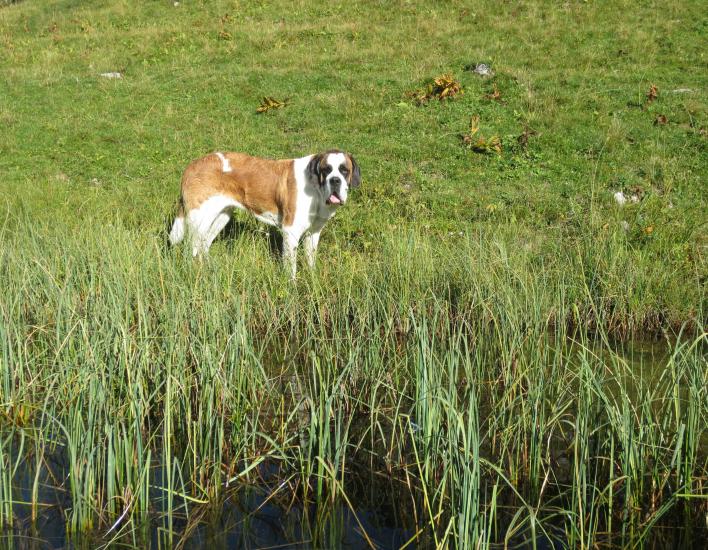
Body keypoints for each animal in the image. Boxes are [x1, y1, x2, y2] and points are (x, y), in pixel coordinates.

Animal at [169, 150, 360, 276]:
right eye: (326, 169)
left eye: (344, 170)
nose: (335, 180)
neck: (315, 190)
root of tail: (192, 166)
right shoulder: (290, 232)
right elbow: (290, 266)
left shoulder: (313, 233)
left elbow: (310, 259)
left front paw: (313, 281)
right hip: (200, 218)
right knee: (191, 249)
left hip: (221, 216)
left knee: (204, 245)